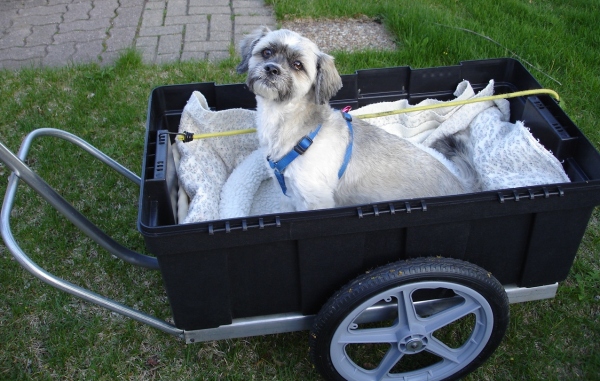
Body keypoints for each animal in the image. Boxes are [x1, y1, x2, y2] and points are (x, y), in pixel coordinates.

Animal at [236, 26, 478, 211]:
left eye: (297, 65)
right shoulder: (288, 193)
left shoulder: (314, 200)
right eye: (267, 52)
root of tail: (461, 186)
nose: (271, 69)